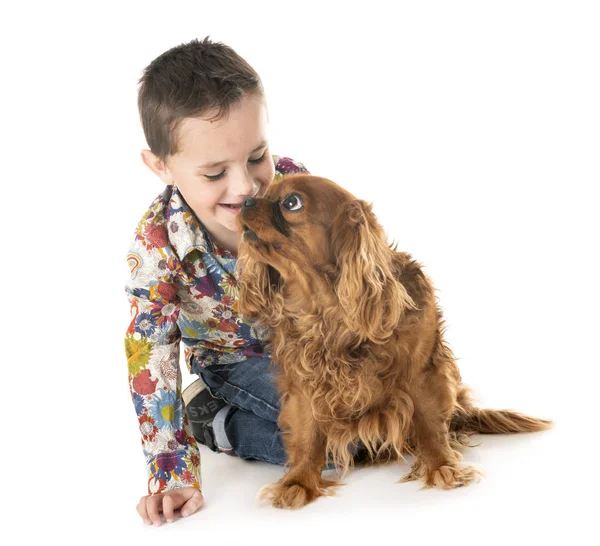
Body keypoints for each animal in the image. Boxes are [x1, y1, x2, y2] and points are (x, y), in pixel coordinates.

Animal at [236, 173, 552, 506]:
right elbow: (308, 436)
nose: (245, 201)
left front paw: (441, 466)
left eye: (291, 202)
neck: (328, 312)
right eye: (263, 192)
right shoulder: (304, 385)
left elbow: (430, 426)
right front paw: (298, 482)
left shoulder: (424, 372)